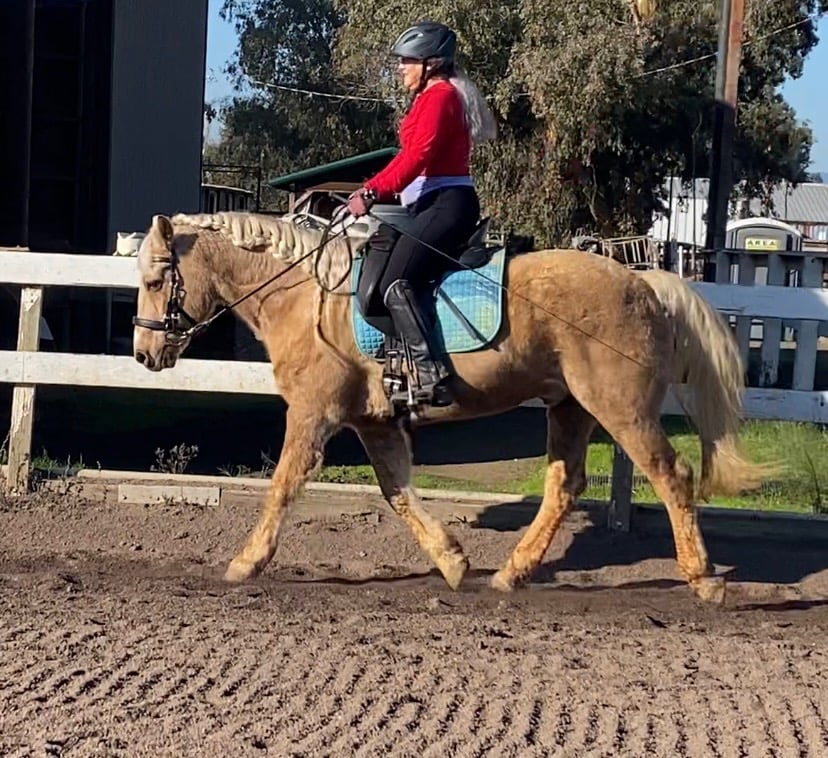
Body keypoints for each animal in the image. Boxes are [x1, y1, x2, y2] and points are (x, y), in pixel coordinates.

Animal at [132, 211, 771, 604]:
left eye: (157, 280)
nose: (143, 353)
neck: (303, 295)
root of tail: (643, 283)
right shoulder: (373, 420)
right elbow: (397, 491)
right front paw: (453, 562)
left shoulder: (314, 414)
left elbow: (284, 485)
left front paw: (246, 561)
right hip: (570, 407)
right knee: (565, 485)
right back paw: (512, 572)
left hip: (620, 409)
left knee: (672, 475)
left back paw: (703, 579)